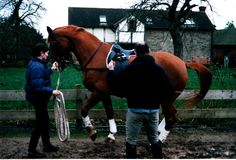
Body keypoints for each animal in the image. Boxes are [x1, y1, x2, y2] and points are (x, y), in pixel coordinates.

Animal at [46, 25, 212, 142]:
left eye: (53, 42)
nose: (55, 63)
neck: (94, 56)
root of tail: (182, 63)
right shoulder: (104, 93)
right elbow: (110, 112)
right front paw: (111, 135)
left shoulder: (98, 92)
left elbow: (84, 109)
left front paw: (92, 132)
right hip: (167, 98)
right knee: (171, 115)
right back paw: (158, 132)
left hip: (165, 97)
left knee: (171, 117)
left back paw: (160, 139)